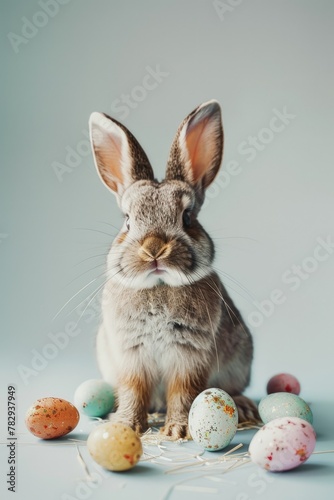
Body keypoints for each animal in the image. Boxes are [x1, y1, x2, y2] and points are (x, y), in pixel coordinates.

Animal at [88, 99, 258, 440]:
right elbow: (133, 390)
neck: (158, 286)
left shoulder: (188, 356)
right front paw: (126, 425)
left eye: (188, 218)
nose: (154, 248)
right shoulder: (131, 356)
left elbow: (184, 391)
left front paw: (178, 430)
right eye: (127, 221)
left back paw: (244, 406)